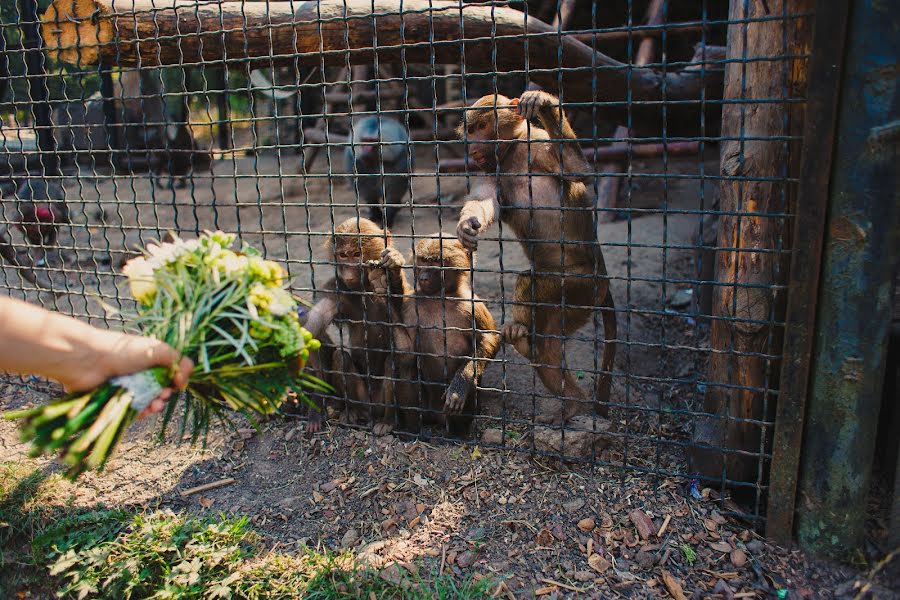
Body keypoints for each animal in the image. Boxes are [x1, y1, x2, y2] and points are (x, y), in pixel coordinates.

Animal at [304, 218, 414, 434]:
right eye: (343, 255)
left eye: (357, 255)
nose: (348, 272)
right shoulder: (333, 289)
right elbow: (312, 333)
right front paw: (316, 404)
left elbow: (407, 352)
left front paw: (389, 270)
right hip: (363, 398)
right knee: (341, 357)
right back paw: (352, 412)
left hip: (380, 403)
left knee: (395, 360)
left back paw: (389, 420)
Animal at [370, 234, 500, 436]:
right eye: (423, 261)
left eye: (436, 262)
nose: (423, 277)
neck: (438, 297)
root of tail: (433, 417)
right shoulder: (411, 305)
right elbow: (406, 349)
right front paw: (386, 280)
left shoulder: (473, 305)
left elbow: (489, 338)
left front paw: (459, 386)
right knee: (404, 362)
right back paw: (408, 429)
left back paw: (458, 434)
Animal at [454, 91, 616, 424]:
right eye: (471, 130)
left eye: (481, 127)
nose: (472, 148)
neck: (512, 154)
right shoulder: (490, 172)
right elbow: (483, 203)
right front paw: (467, 226)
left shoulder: (538, 145)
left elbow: (577, 169)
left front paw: (542, 103)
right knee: (548, 345)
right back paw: (571, 401)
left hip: (582, 286)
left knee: (530, 282)